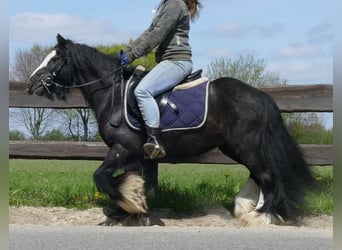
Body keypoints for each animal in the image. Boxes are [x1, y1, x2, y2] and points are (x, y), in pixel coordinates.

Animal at [28, 33, 314, 227]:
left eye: (56, 59)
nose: (31, 84)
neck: (113, 94)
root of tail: (258, 94)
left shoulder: (122, 149)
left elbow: (102, 177)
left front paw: (131, 203)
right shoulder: (135, 155)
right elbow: (132, 179)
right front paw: (136, 209)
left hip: (246, 147)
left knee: (266, 176)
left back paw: (260, 216)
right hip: (235, 147)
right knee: (259, 175)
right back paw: (246, 209)